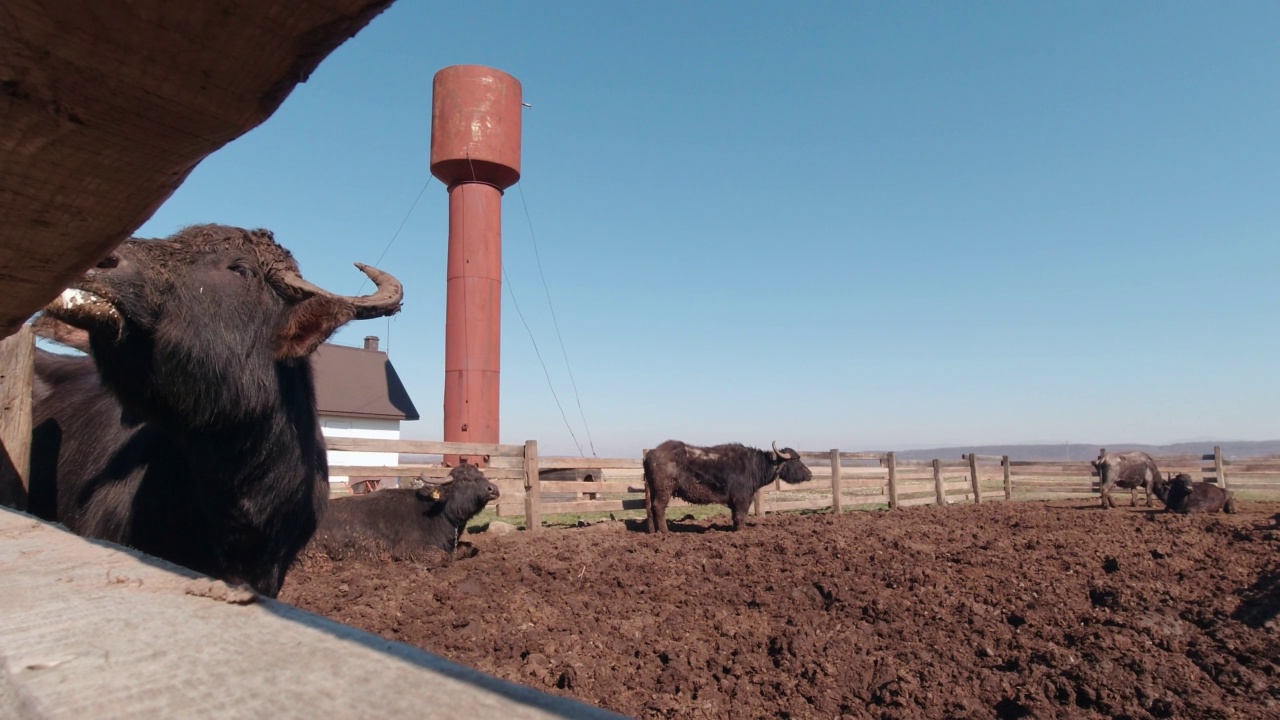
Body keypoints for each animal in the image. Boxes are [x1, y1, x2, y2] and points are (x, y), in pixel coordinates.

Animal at [307, 461, 501, 558]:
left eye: (482, 475)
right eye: (465, 479)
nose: (493, 489)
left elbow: (468, 547)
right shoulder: (409, 549)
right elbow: (441, 556)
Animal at [645, 438, 814, 532]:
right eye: (795, 460)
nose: (810, 474)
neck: (755, 466)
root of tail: (651, 453)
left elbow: (734, 517)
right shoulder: (742, 500)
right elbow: (741, 516)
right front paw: (740, 531)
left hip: (653, 490)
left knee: (650, 508)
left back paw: (654, 531)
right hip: (664, 491)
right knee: (659, 508)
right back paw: (665, 532)